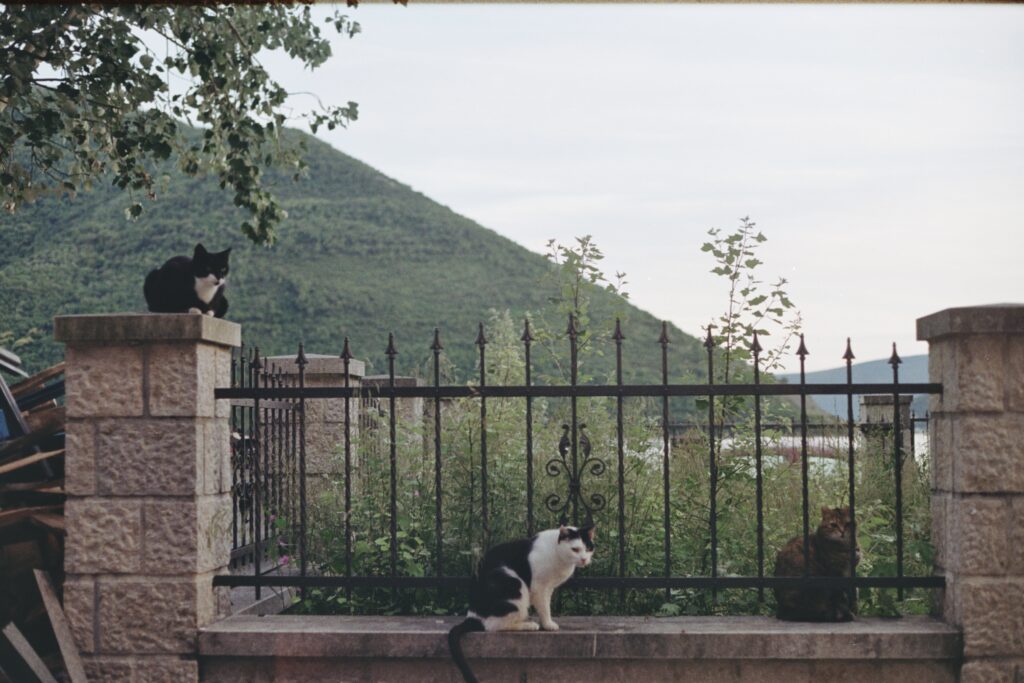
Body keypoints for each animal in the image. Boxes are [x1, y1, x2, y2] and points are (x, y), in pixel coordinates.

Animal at [446, 528, 593, 679]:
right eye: (575, 549)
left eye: (588, 548)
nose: (584, 559)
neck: (557, 553)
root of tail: (472, 616)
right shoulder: (540, 588)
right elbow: (545, 608)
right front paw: (548, 624)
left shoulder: (548, 588)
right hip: (516, 585)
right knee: (493, 626)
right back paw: (529, 625)